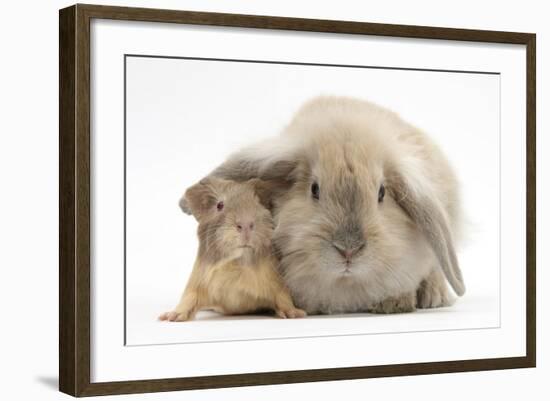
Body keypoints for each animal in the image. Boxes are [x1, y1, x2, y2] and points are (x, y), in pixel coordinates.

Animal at [160, 177, 308, 320]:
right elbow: (188, 299)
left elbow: (283, 299)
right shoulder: (197, 282)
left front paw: (295, 314)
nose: (246, 224)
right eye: (220, 205)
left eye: (258, 203)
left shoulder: (277, 282)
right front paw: (170, 317)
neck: (237, 262)